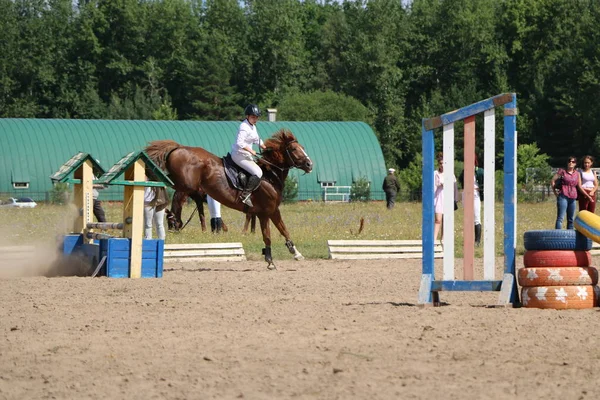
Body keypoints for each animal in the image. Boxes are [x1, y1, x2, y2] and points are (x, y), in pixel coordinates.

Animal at [146, 129, 314, 268]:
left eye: (302, 148)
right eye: (294, 149)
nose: (309, 164)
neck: (269, 176)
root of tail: (178, 147)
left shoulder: (273, 211)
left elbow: (284, 230)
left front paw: (296, 253)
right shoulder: (265, 213)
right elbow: (267, 236)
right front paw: (270, 261)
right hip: (185, 184)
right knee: (168, 186)